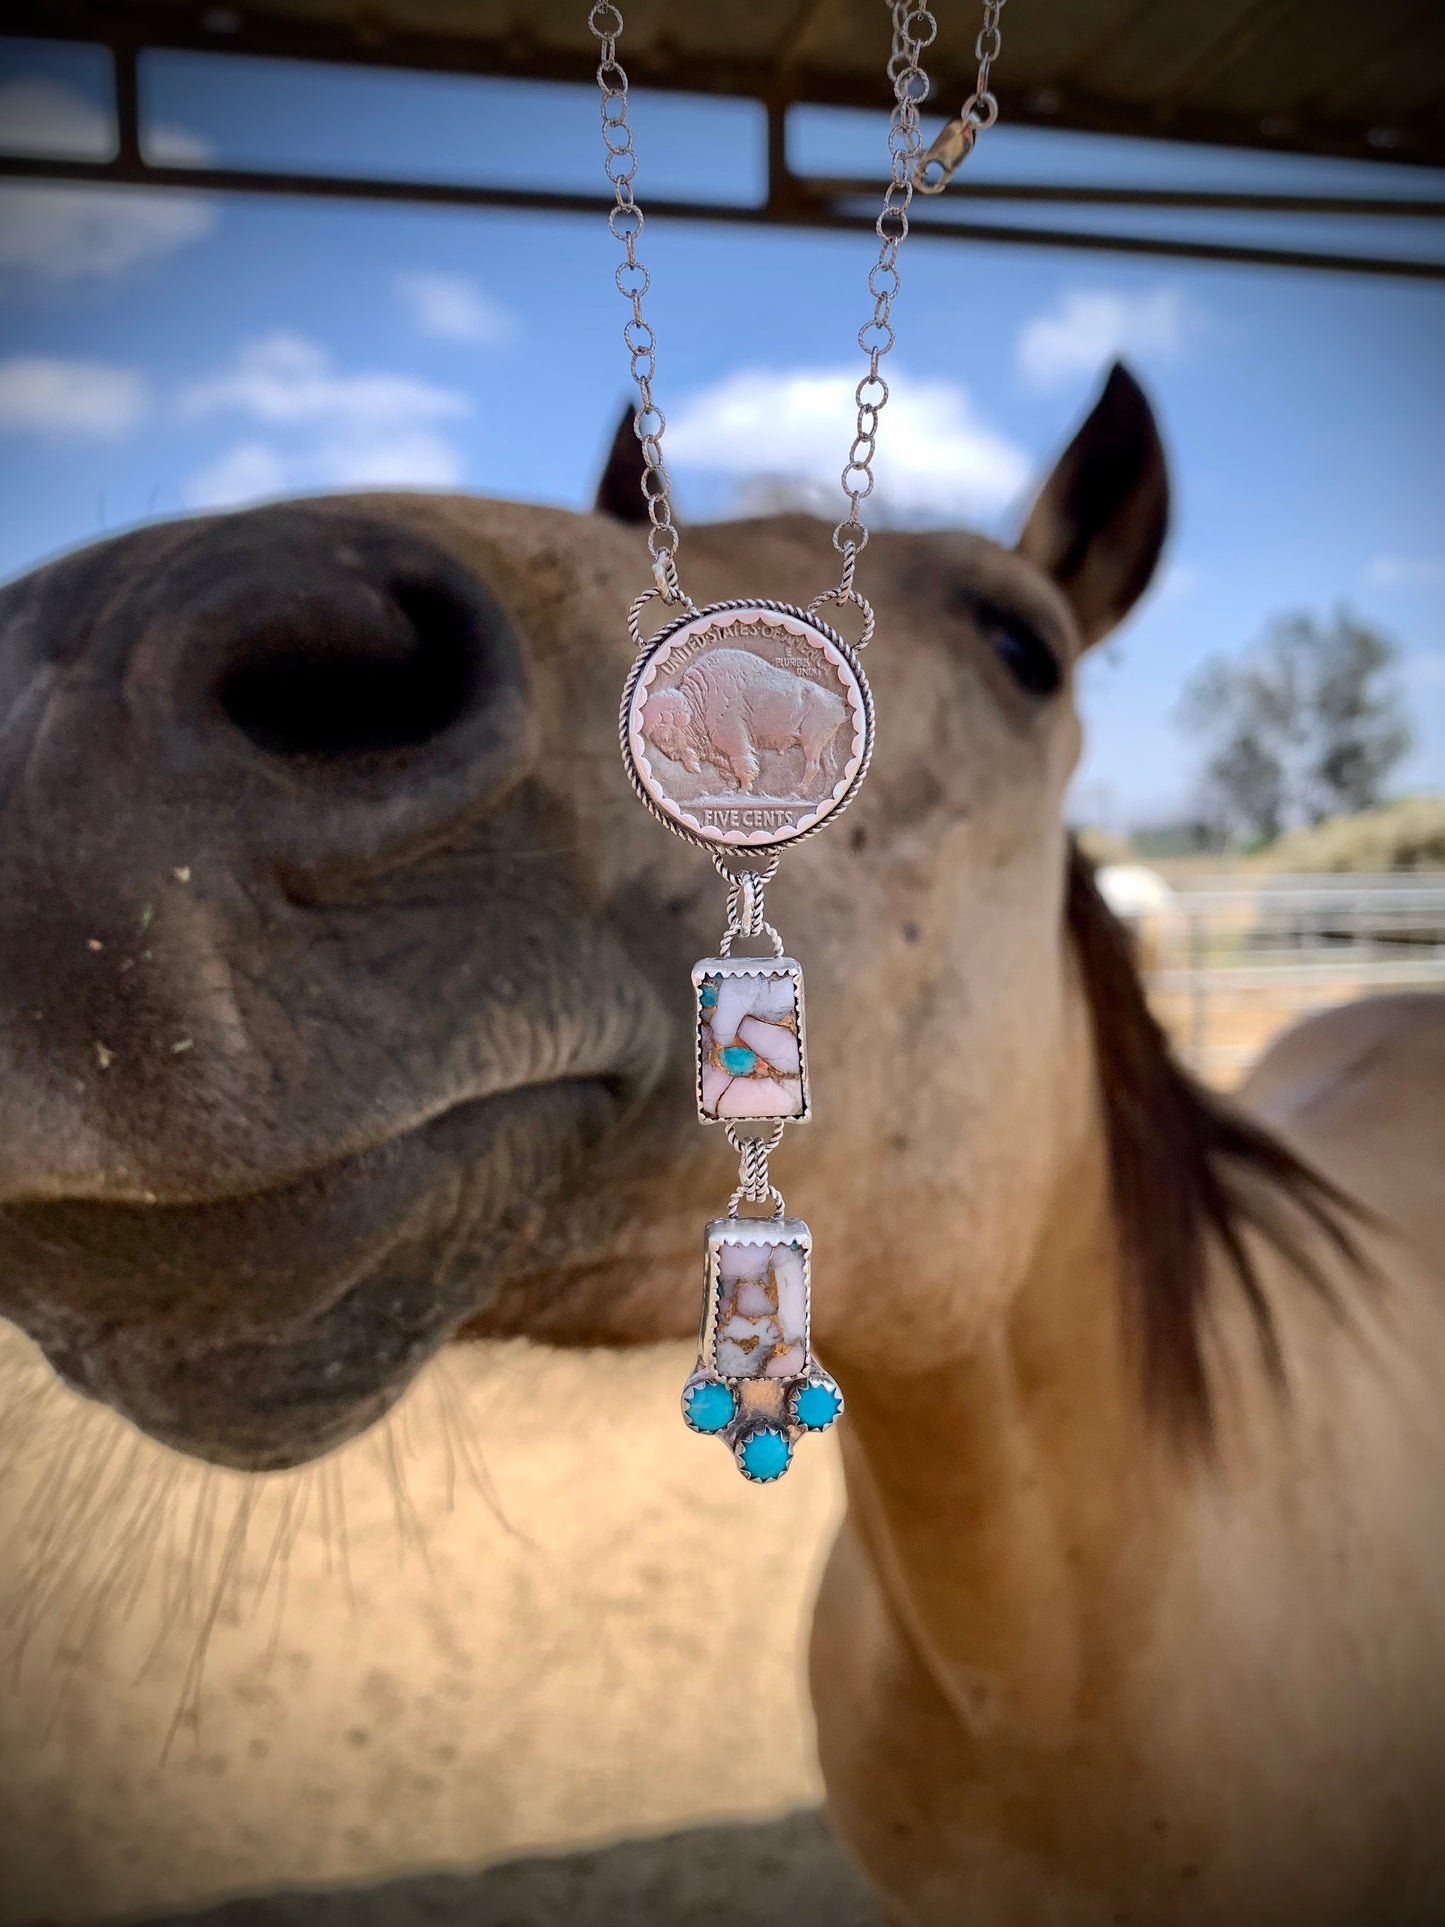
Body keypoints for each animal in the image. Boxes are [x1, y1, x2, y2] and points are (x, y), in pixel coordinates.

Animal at [643, 651, 855, 793]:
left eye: (666, 734)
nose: (671, 756)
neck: (699, 701)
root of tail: (837, 701)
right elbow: (727, 769)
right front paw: (730, 790)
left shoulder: (735, 740)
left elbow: (743, 765)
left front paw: (744, 790)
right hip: (826, 744)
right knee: (830, 767)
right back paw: (822, 794)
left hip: (812, 742)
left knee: (813, 766)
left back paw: (797, 792)